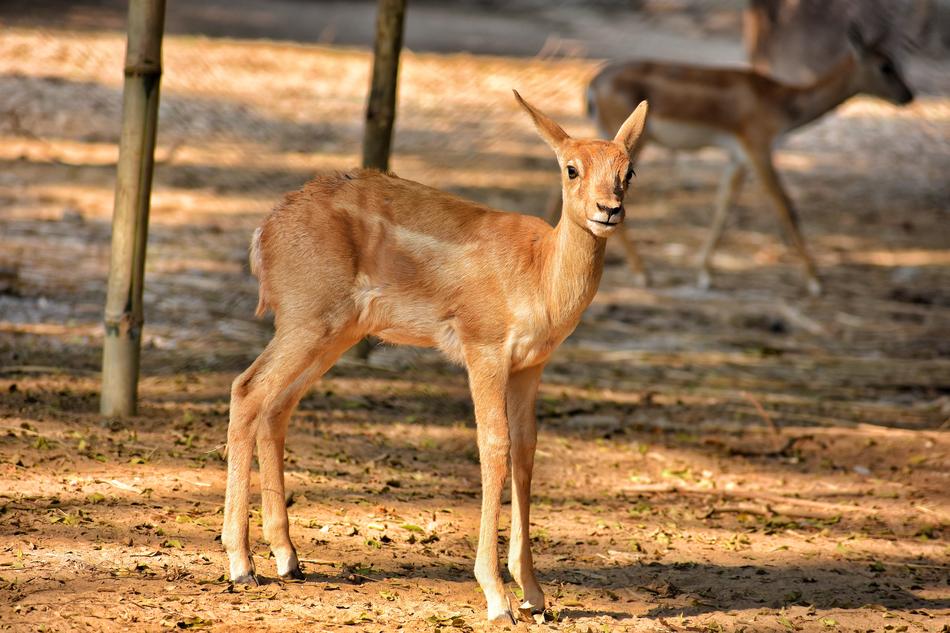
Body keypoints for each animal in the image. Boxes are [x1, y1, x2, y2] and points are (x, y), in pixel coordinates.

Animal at [221, 91, 649, 624]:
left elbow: (527, 449)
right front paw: (498, 600)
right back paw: (241, 565)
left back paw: (289, 559)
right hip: (306, 322)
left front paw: (536, 595)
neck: (540, 273)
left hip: (332, 333)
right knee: (247, 389)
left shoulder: (531, 366)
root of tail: (264, 231)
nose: (608, 210)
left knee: (275, 407)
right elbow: (494, 446)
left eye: (628, 170)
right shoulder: (483, 349)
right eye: (571, 168)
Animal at [579, 24, 913, 296]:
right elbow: (785, 206)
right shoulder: (759, 150)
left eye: (896, 61)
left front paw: (704, 274)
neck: (781, 102)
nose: (908, 96)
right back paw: (643, 274)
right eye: (885, 66)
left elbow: (724, 207)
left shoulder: (737, 158)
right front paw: (816, 281)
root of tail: (593, 85)